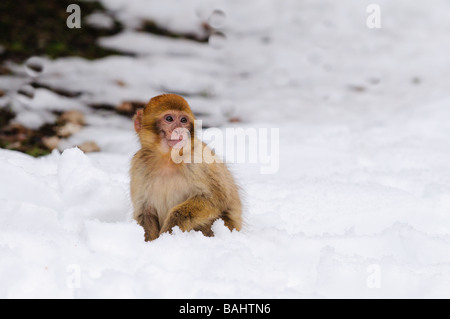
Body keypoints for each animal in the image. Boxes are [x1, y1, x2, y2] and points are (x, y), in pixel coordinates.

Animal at [129, 94, 243, 241]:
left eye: (183, 120)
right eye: (169, 119)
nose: (180, 130)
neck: (167, 159)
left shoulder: (197, 161)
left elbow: (216, 199)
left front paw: (168, 233)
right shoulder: (139, 166)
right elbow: (144, 211)